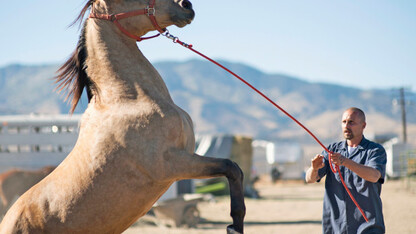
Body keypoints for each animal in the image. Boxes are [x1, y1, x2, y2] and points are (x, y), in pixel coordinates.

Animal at [0, 0, 244, 234]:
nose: (186, 5)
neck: (127, 100)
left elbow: (235, 170)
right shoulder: (172, 163)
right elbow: (231, 168)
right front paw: (234, 226)